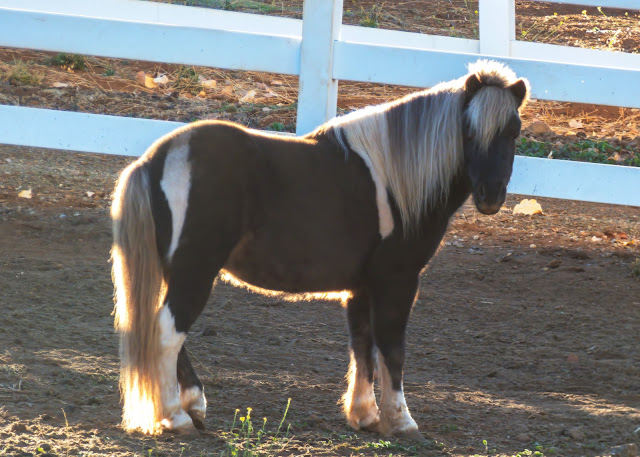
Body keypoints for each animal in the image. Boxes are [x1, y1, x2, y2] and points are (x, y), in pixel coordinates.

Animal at [111, 58, 528, 436]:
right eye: (468, 132)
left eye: (513, 131)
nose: (490, 196)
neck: (395, 183)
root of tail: (157, 158)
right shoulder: (398, 281)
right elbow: (391, 347)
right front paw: (401, 420)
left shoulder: (362, 286)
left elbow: (362, 345)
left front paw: (365, 415)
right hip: (195, 271)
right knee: (168, 333)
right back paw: (176, 416)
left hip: (180, 273)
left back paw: (193, 406)